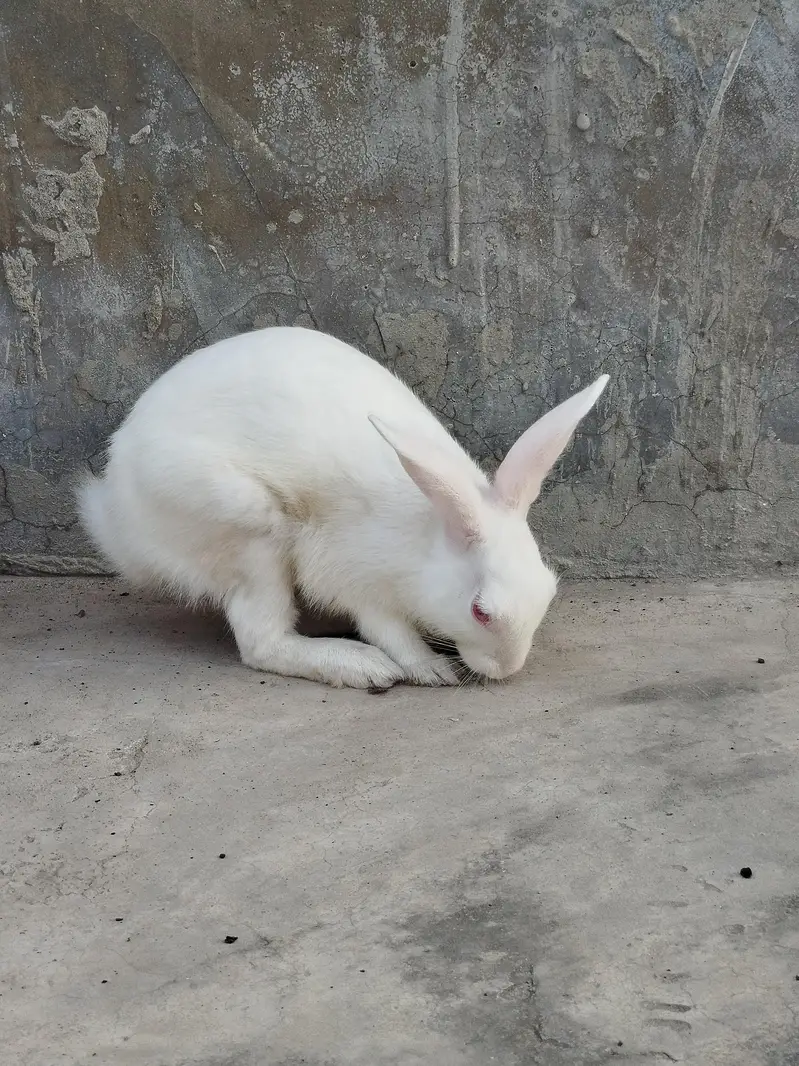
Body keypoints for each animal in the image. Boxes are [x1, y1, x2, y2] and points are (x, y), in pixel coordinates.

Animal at [78, 326, 608, 689]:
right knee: (262, 643)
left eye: (549, 589)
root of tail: (117, 517)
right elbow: (390, 631)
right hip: (248, 527)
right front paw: (432, 669)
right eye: (480, 612)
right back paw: (361, 667)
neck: (427, 537)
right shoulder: (358, 578)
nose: (507, 668)